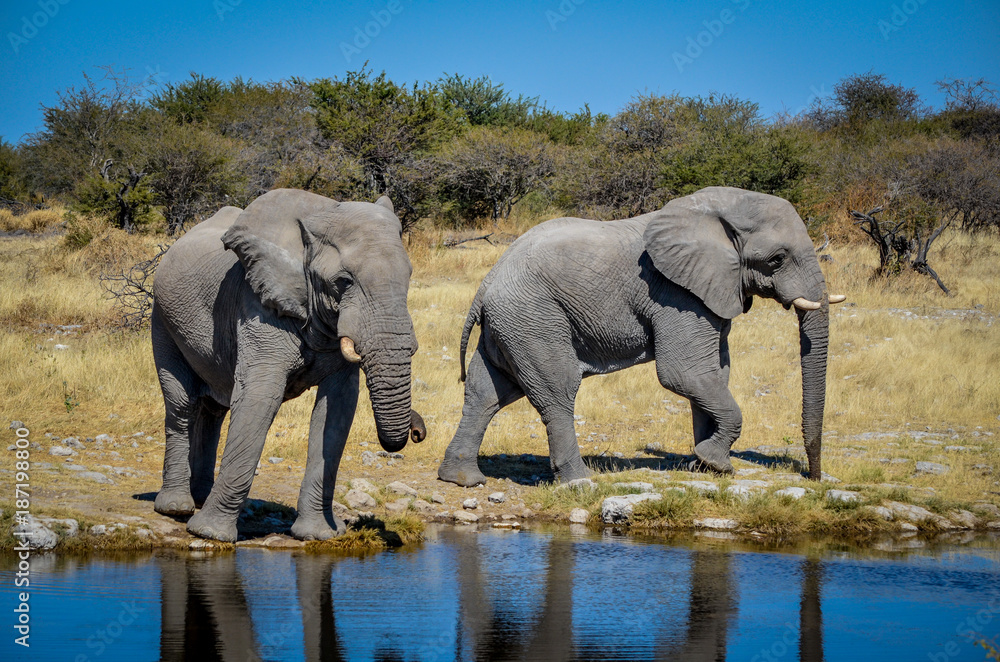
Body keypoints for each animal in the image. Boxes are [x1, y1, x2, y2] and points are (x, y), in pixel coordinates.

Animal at [152, 188, 425, 542]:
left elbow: (337, 410)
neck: (322, 213)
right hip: (163, 318)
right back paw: (176, 508)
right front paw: (210, 534)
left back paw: (200, 498)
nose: (417, 431)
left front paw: (318, 535)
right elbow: (260, 397)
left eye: (409, 275)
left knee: (215, 408)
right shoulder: (258, 304)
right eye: (344, 281)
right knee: (181, 404)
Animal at [438, 186, 842, 487]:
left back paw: (462, 479)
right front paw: (716, 463)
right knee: (556, 390)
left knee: (487, 392)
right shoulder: (676, 295)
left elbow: (716, 374)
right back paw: (579, 482)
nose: (813, 478)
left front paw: (703, 466)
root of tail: (486, 282)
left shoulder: (710, 293)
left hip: (511, 324)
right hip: (534, 318)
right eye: (776, 259)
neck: (715, 210)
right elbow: (685, 374)